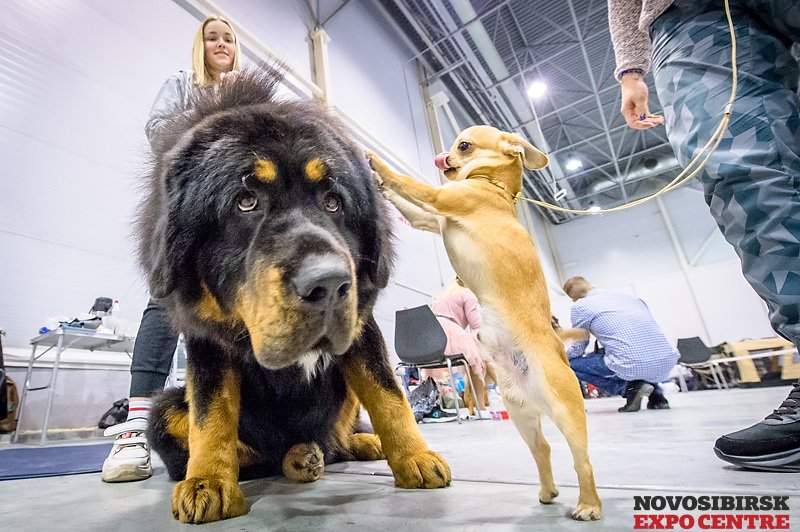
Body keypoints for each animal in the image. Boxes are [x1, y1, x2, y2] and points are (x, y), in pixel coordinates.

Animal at [138, 69, 450, 524]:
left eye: (334, 202)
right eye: (246, 201)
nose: (330, 284)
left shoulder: (361, 329)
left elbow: (389, 396)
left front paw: (415, 457)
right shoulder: (207, 341)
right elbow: (210, 417)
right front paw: (208, 481)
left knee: (337, 437)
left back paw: (352, 445)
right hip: (163, 409)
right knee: (257, 453)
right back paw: (298, 457)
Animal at [368, 127, 600, 520]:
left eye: (463, 146)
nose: (442, 156)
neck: (493, 185)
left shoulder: (440, 199)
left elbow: (409, 184)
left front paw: (374, 160)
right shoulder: (431, 219)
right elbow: (407, 205)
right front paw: (379, 183)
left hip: (566, 410)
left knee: (581, 458)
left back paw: (589, 505)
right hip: (522, 416)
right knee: (543, 449)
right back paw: (547, 491)